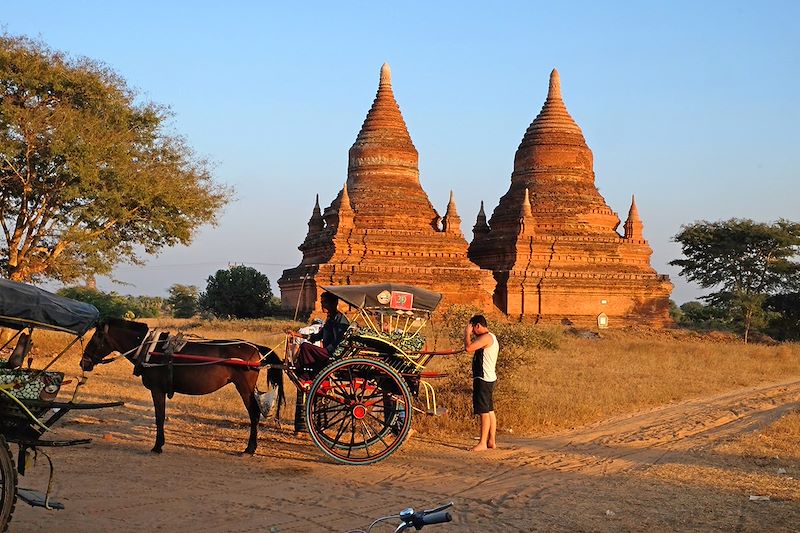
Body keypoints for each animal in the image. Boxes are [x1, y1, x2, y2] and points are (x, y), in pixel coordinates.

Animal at [81, 316, 284, 454]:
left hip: (244, 387)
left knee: (254, 414)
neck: (150, 349)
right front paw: (160, 444)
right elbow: (161, 417)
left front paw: (157, 446)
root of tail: (254, 347)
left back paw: (250, 448)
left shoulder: (157, 390)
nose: (83, 363)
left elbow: (159, 417)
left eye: (96, 337)